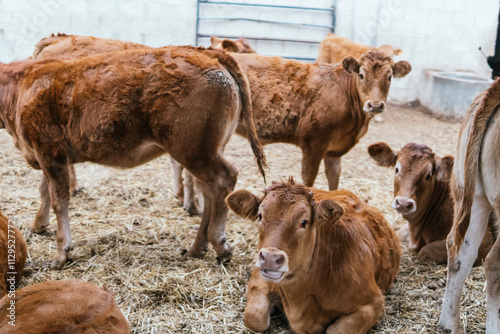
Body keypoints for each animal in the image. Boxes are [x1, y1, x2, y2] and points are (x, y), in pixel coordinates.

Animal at [0, 45, 266, 268]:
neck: (19, 87)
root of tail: (207, 53)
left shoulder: (49, 152)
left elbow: (59, 199)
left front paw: (60, 253)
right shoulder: (48, 155)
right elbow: (44, 191)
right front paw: (39, 225)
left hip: (192, 150)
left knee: (224, 179)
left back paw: (219, 244)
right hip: (205, 151)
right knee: (209, 191)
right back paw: (196, 247)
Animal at [227, 179, 402, 334]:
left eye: (304, 222)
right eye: (260, 216)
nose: (270, 258)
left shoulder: (374, 302)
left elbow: (336, 330)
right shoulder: (260, 278)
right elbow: (254, 318)